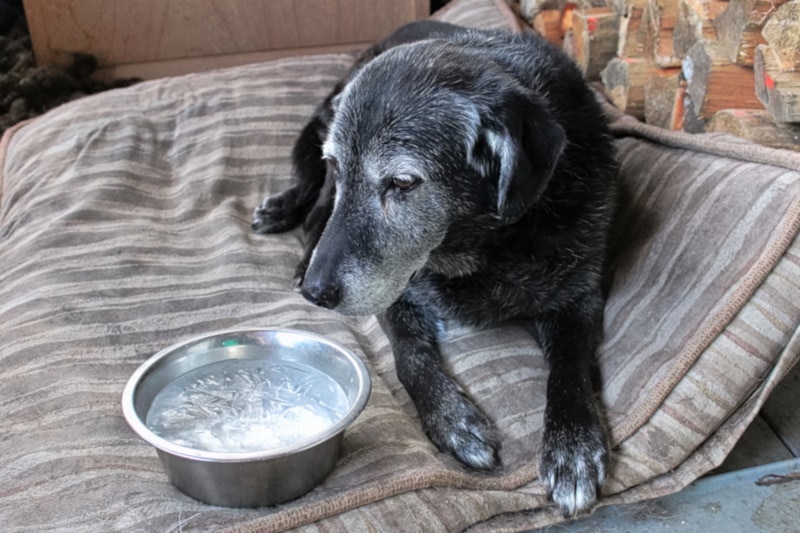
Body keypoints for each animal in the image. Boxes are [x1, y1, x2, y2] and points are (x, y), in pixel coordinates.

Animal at [253, 20, 616, 516]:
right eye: (339, 165)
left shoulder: (579, 297)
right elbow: (409, 357)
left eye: (403, 182)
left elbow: (570, 366)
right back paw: (284, 214)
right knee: (312, 206)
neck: (484, 247)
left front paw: (573, 447)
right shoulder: (395, 290)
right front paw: (453, 422)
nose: (316, 292)